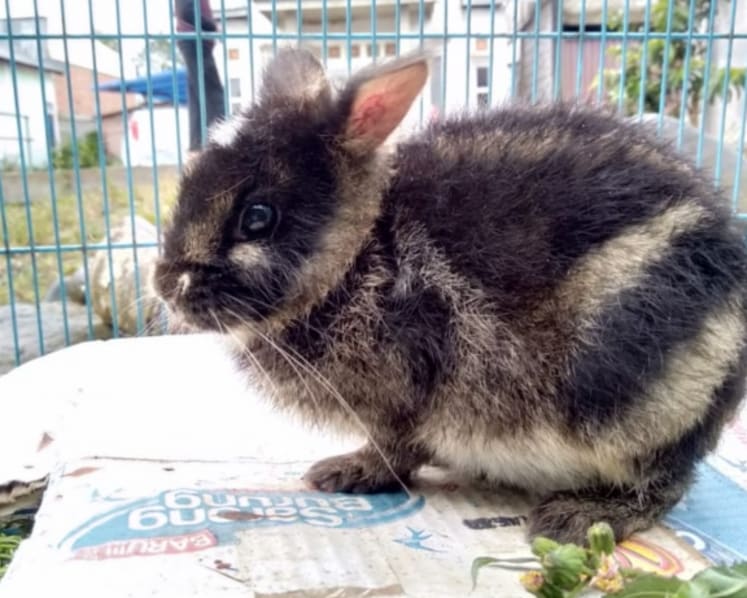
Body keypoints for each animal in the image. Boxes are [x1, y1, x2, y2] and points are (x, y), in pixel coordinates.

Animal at [153, 47, 747, 544]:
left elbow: (395, 448)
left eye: (257, 218)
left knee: (667, 481)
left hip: (618, 389)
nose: (165, 288)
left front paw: (347, 473)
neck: (361, 249)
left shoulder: (407, 394)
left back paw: (583, 517)